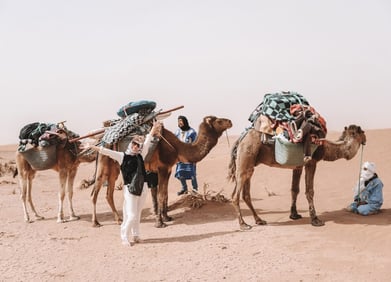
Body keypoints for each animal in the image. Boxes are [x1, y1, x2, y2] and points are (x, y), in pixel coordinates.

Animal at [89, 115, 233, 228]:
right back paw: (95, 222)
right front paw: (160, 223)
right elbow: (160, 195)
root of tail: (102, 141)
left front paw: (167, 217)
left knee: (109, 193)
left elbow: (165, 194)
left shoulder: (168, 169)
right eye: (219, 120)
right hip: (103, 163)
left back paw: (119, 219)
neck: (176, 148)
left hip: (114, 167)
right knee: (95, 192)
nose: (230, 121)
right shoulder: (162, 168)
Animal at [228, 124, 370, 230]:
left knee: (246, 193)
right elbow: (310, 191)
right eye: (362, 132)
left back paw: (259, 220)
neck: (324, 147)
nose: (365, 138)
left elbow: (294, 189)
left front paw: (294, 215)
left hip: (250, 163)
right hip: (246, 156)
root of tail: (241, 138)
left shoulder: (298, 167)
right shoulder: (311, 162)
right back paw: (243, 225)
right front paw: (316, 220)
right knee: (235, 195)